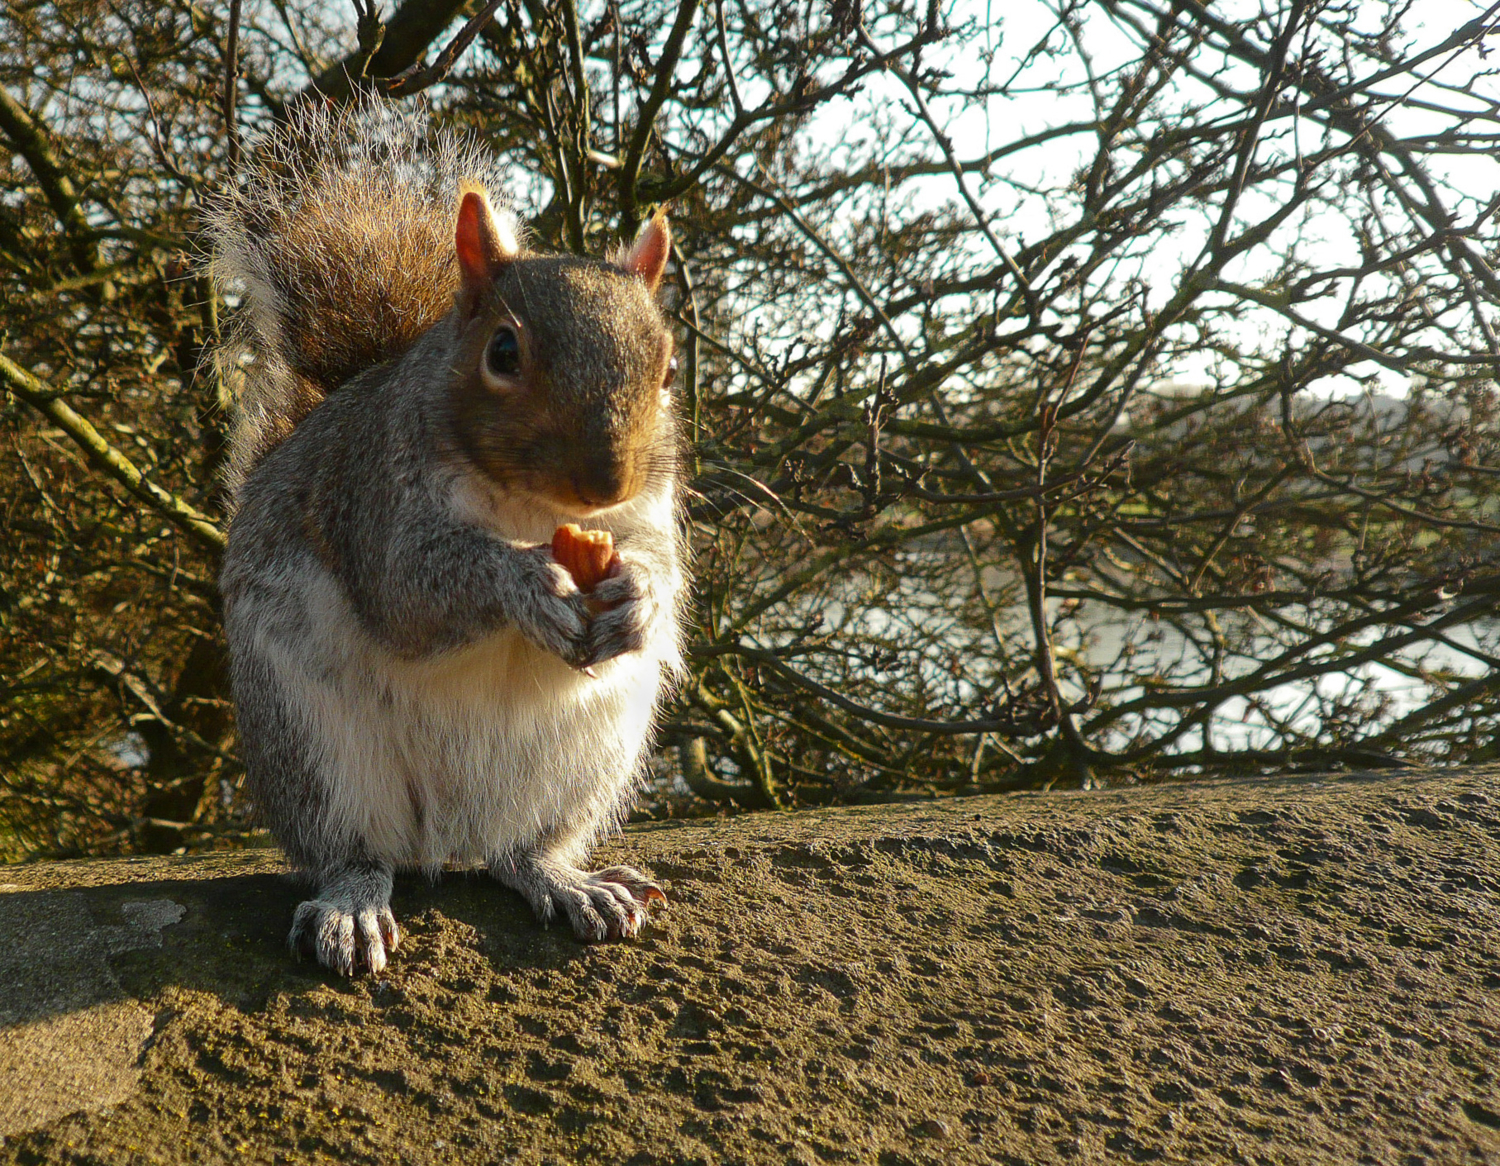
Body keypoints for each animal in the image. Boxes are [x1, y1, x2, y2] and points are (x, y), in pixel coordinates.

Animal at [205, 102, 687, 972]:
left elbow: (663, 566)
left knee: (518, 851)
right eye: (503, 351)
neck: (532, 512)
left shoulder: (646, 514)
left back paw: (569, 881)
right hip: (314, 748)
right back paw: (353, 907)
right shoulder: (375, 501)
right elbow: (410, 590)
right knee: (352, 850)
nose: (604, 482)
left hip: (583, 760)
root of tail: (446, 834)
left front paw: (637, 594)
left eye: (668, 370)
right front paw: (524, 583)